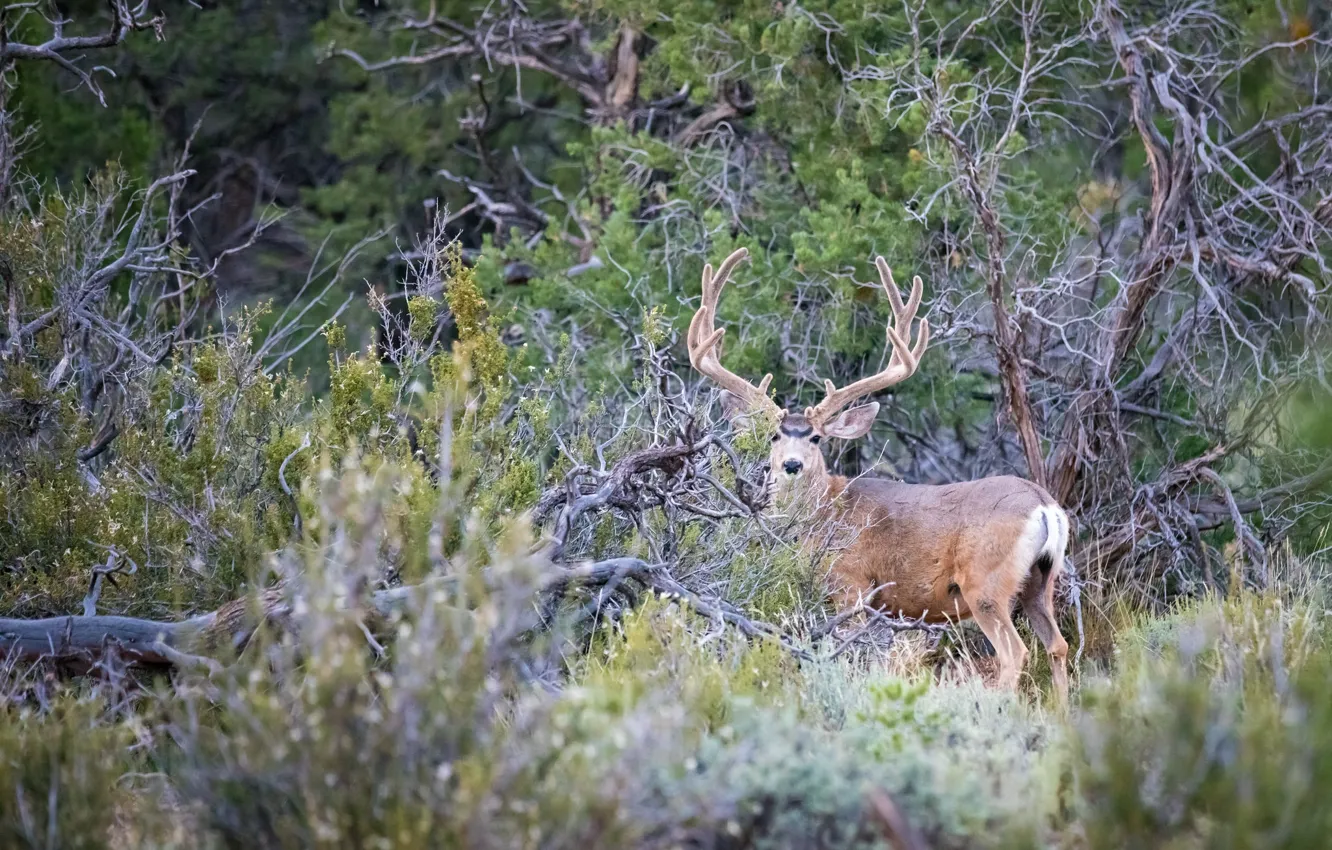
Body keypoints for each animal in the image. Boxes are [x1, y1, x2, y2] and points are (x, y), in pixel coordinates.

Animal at [687, 247, 1070, 704]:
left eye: (816, 437)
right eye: (774, 435)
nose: (791, 465)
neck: (824, 515)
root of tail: (1045, 506)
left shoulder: (850, 584)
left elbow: (849, 655)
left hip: (986, 582)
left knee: (1015, 652)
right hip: (1041, 580)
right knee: (1058, 645)